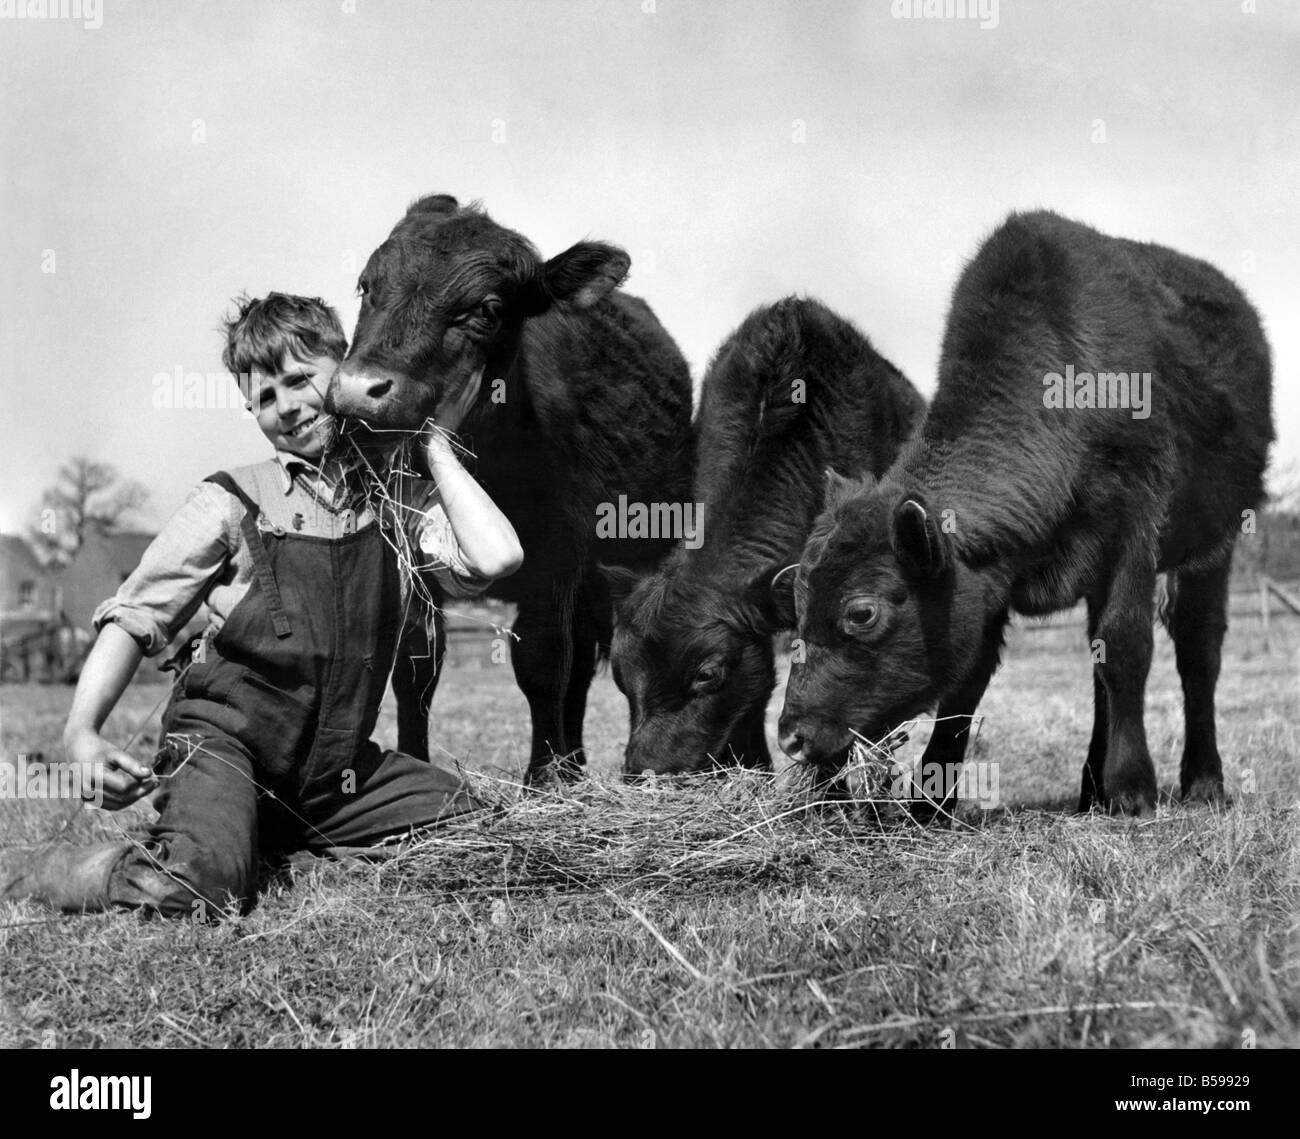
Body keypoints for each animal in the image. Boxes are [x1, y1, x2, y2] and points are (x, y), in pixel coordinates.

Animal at [324, 194, 694, 784]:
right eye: (366, 285)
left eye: (487, 309)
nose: (361, 391)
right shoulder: (409, 562)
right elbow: (416, 663)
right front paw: (414, 758)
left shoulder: (557, 563)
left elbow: (542, 662)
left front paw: (542, 779)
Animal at [776, 210, 1273, 816]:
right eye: (797, 599)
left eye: (862, 612)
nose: (792, 736)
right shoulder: (986, 574)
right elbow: (969, 682)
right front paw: (930, 804)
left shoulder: (1134, 530)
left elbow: (1127, 644)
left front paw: (1133, 789)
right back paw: (1090, 787)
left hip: (1214, 545)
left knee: (1197, 648)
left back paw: (1201, 781)